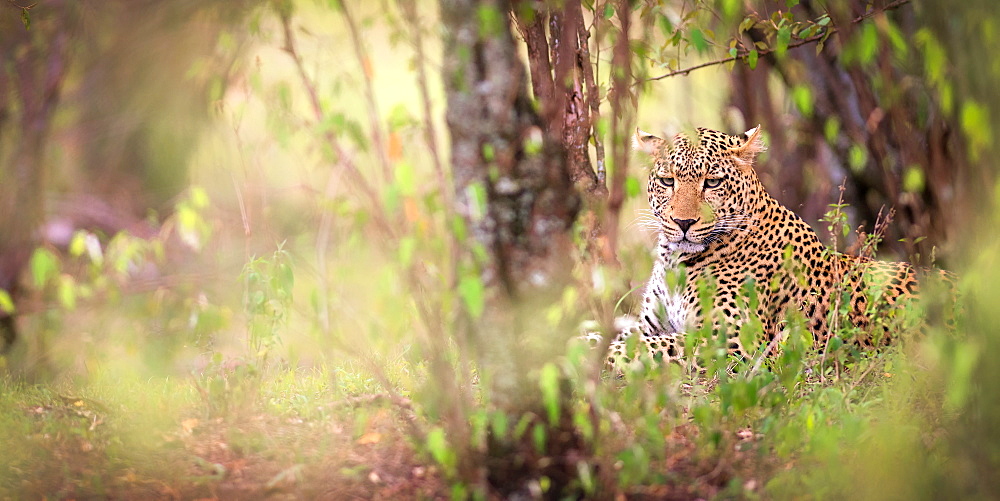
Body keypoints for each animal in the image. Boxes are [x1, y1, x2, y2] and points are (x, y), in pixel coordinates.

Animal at [600, 125, 944, 368]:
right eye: (667, 181)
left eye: (712, 183)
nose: (683, 223)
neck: (675, 262)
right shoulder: (651, 324)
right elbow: (626, 335)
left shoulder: (735, 340)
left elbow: (649, 348)